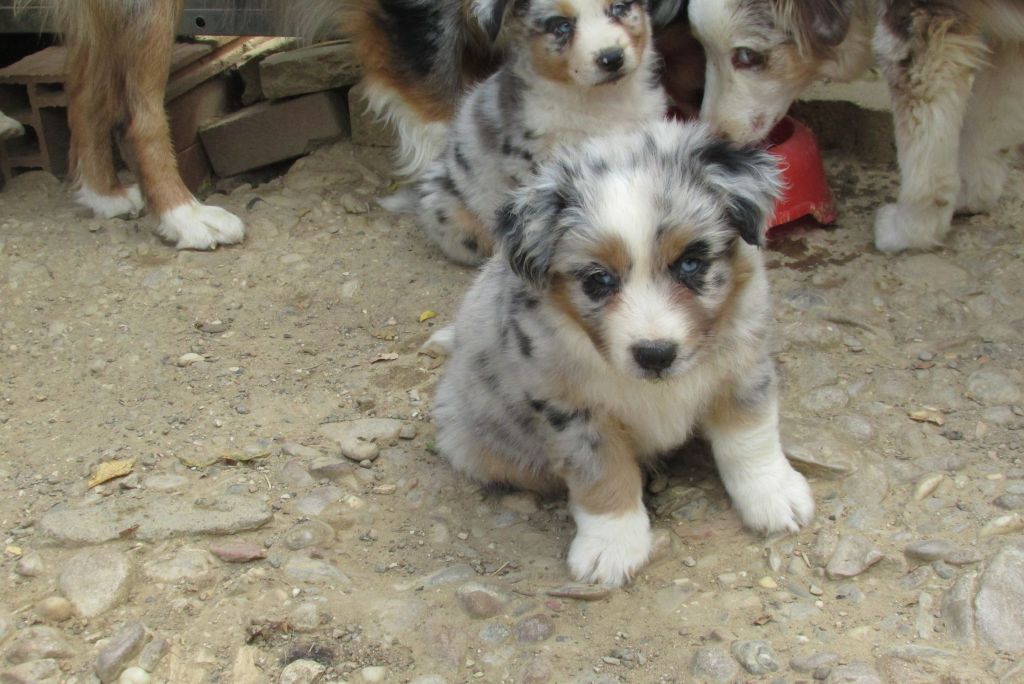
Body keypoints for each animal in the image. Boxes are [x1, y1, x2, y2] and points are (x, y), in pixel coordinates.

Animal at [433, 120, 815, 586]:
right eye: (599, 279)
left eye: (690, 264)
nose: (655, 354)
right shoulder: (572, 411)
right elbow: (602, 475)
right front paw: (611, 548)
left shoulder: (744, 369)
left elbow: (750, 439)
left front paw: (774, 496)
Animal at [682, 0, 1024, 252]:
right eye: (702, 48)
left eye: (746, 55)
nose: (715, 140)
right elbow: (990, 119)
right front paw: (970, 193)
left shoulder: (920, 27)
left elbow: (925, 141)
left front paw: (911, 229)